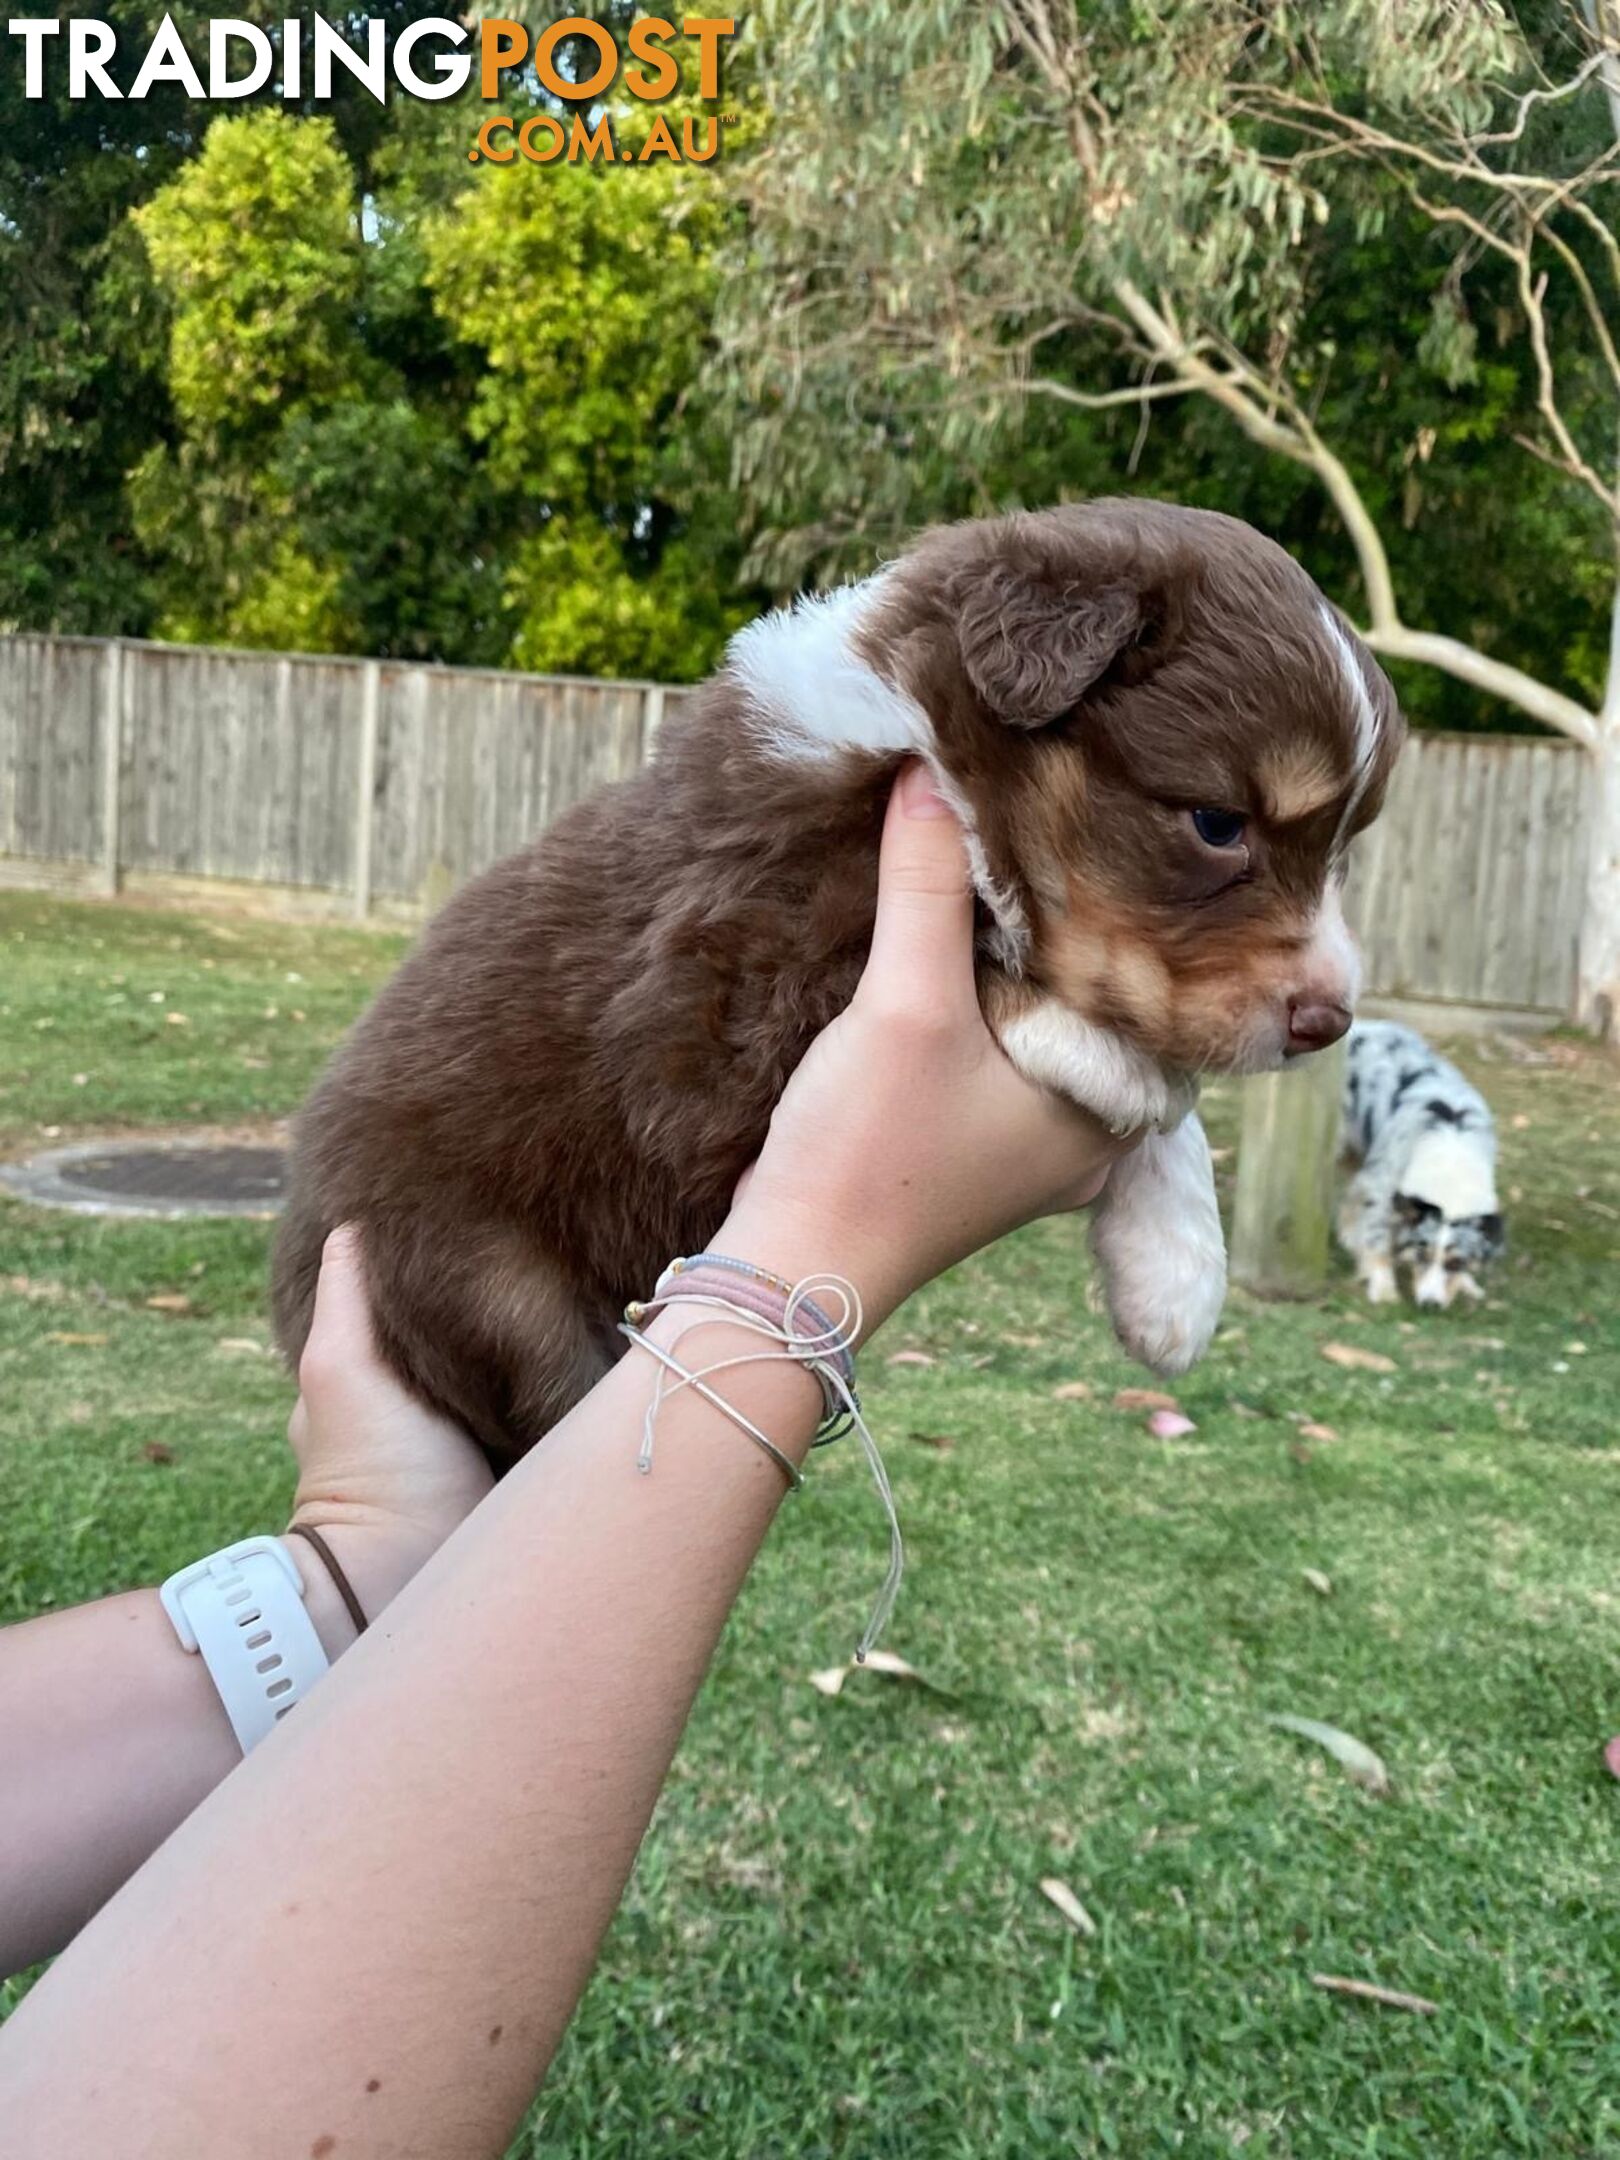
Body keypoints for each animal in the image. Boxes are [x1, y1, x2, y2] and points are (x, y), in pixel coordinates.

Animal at [276, 496, 1408, 1468]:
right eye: (1218, 824)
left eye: (1346, 850)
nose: (1329, 1019)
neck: (926, 738)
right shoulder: (719, 1009)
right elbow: (986, 961)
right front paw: (1107, 1059)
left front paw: (1175, 1282)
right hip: (491, 1285)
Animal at [1347, 1019, 1512, 1304]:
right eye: (1421, 1254)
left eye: (1456, 1263)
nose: (1429, 1305)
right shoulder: (1380, 1184)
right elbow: (1377, 1236)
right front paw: (1383, 1287)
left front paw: (1467, 1285)